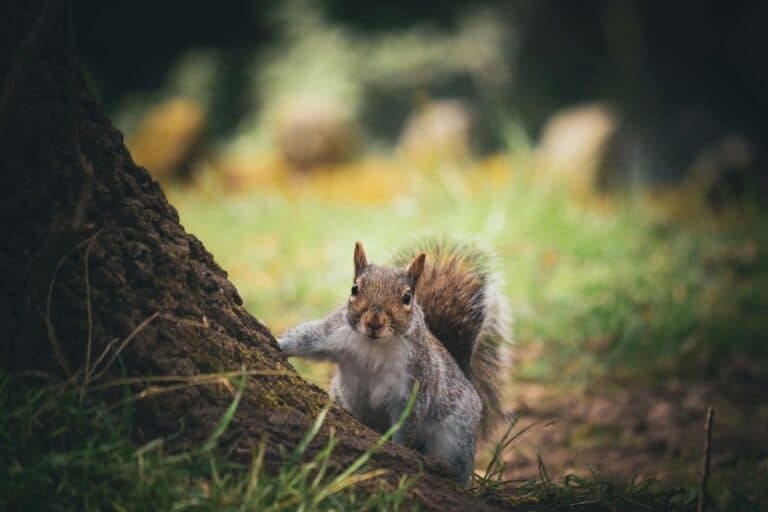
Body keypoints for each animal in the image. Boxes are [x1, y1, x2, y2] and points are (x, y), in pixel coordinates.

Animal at [277, 239, 512, 484]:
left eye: (407, 297)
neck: (374, 346)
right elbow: (306, 339)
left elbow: (406, 421)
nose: (374, 322)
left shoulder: (414, 382)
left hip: (455, 433)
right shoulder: (334, 332)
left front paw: (401, 450)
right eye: (354, 289)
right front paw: (280, 344)